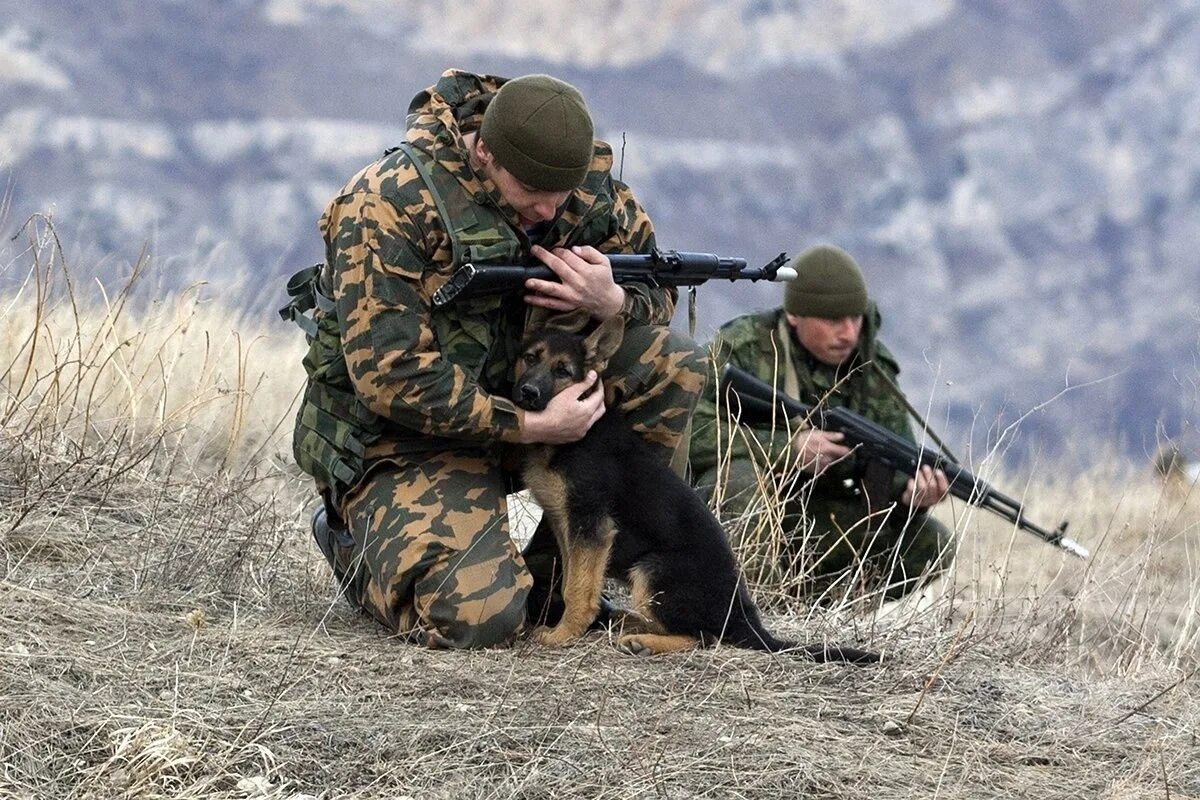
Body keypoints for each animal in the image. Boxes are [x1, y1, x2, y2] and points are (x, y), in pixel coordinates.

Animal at [511, 311, 878, 662]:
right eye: (529, 358)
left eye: (563, 371)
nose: (527, 393)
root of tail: (744, 619)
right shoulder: (567, 524)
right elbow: (571, 577)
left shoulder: (592, 526)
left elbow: (577, 589)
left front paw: (562, 634)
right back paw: (626, 622)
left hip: (652, 570)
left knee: (704, 637)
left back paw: (642, 640)